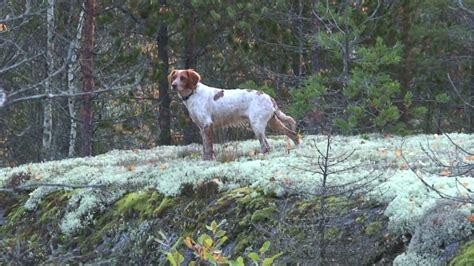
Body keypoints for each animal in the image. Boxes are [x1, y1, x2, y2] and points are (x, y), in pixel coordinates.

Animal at [168, 69, 298, 160]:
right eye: (174, 77)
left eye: (183, 78)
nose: (173, 85)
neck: (193, 94)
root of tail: (269, 97)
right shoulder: (202, 127)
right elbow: (205, 147)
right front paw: (204, 160)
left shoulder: (207, 124)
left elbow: (209, 147)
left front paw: (209, 160)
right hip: (272, 122)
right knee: (292, 134)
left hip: (257, 125)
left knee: (266, 145)